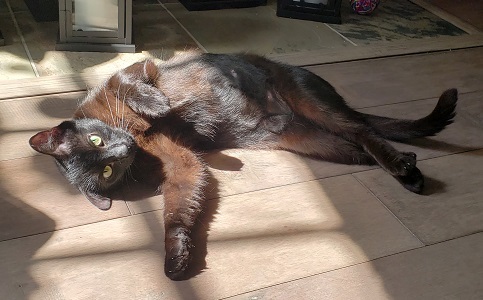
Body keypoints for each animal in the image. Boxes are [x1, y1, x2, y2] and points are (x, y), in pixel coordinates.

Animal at [28, 51, 460, 278]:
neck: (136, 135)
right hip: (315, 141)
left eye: (97, 143)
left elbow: (131, 87)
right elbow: (178, 211)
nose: (123, 150)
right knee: (360, 145)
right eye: (107, 171)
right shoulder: (183, 165)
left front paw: (158, 105)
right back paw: (409, 169)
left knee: (364, 130)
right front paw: (176, 258)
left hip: (314, 105)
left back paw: (401, 165)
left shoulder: (138, 68)